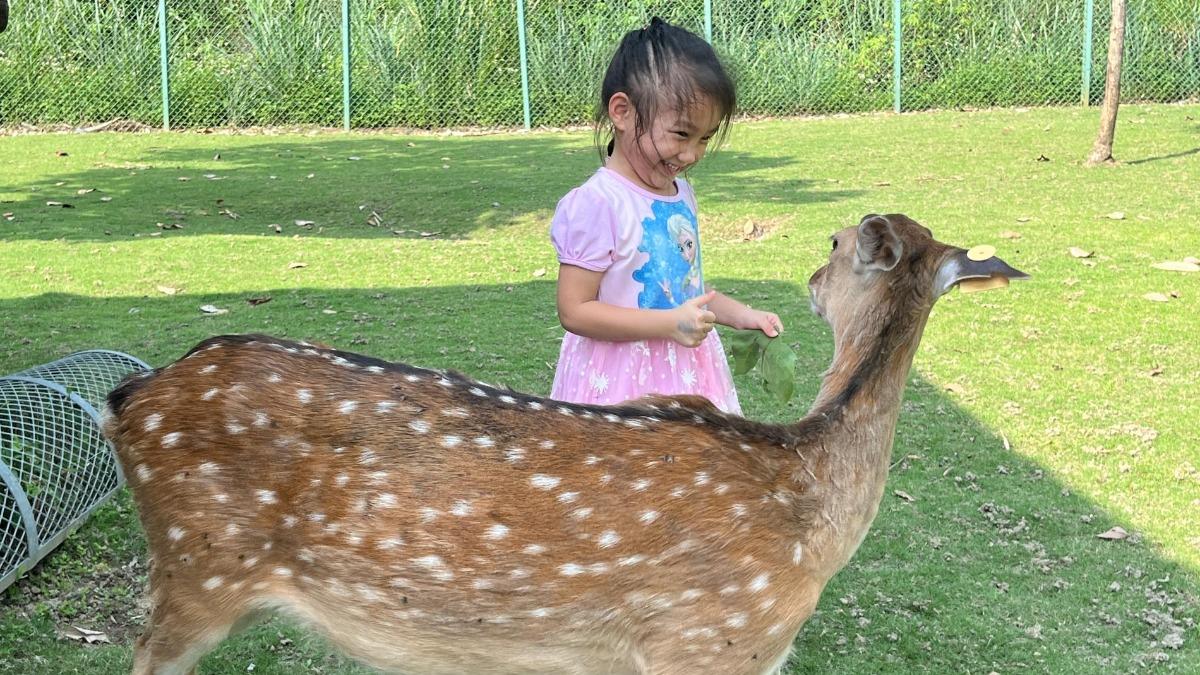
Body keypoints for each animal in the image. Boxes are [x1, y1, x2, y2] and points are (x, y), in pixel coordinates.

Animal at [100, 213, 1032, 672]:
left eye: (831, 247)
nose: (806, 279)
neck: (812, 522)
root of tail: (125, 398)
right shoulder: (707, 642)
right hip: (197, 565)